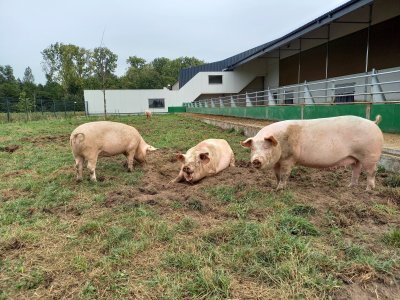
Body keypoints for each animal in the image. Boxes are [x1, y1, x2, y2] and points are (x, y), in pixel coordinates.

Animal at [241, 115, 384, 190]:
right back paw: (350, 187)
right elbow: (277, 175)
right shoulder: (278, 162)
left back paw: (368, 190)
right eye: (253, 148)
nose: (256, 160)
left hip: (370, 155)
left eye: (267, 147)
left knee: (372, 172)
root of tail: (373, 123)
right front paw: (276, 186)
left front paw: (280, 189)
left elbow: (285, 174)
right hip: (356, 157)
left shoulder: (289, 158)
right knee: (356, 170)